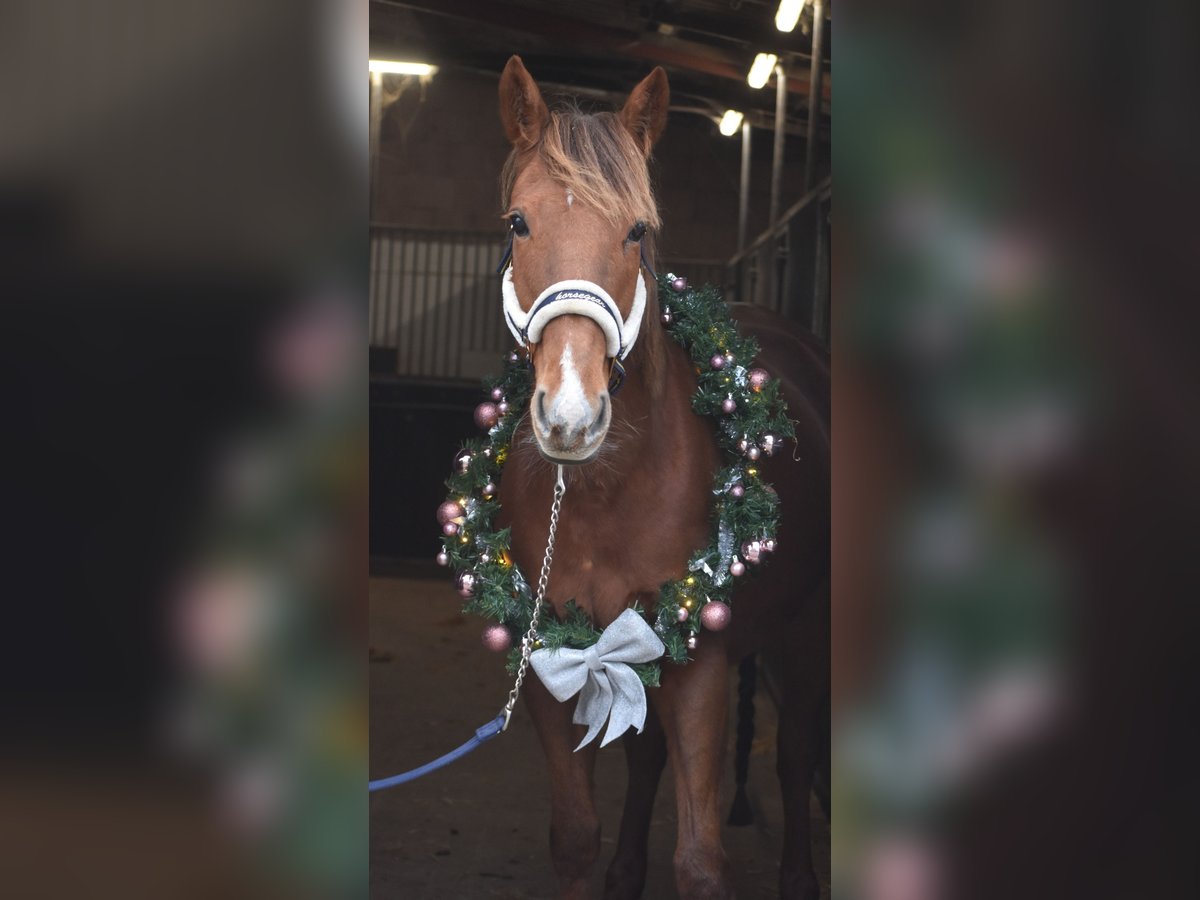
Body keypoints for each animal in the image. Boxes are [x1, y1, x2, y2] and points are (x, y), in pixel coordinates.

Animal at [492, 58, 830, 900]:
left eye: (637, 229)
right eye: (518, 222)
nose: (571, 415)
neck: (602, 496)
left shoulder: (699, 658)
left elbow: (701, 859)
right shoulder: (549, 655)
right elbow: (574, 835)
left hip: (805, 632)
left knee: (796, 754)